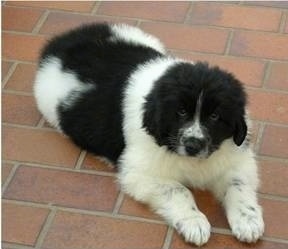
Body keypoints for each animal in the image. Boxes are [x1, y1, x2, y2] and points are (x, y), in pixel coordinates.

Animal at [33, 23, 264, 245]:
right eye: (181, 112)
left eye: (215, 116)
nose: (193, 145)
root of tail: (61, 41)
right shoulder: (138, 172)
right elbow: (178, 189)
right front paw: (194, 223)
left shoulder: (236, 159)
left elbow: (237, 185)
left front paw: (248, 220)